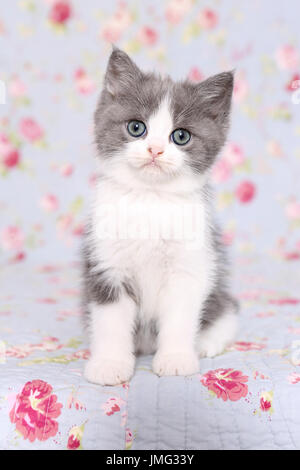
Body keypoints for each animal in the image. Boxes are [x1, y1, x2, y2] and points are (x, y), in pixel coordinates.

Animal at [81, 46, 238, 386]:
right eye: (136, 128)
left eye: (180, 136)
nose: (155, 149)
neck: (150, 199)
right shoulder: (107, 263)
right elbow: (110, 320)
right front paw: (110, 363)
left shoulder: (190, 264)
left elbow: (180, 315)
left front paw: (176, 358)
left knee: (228, 311)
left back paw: (207, 341)